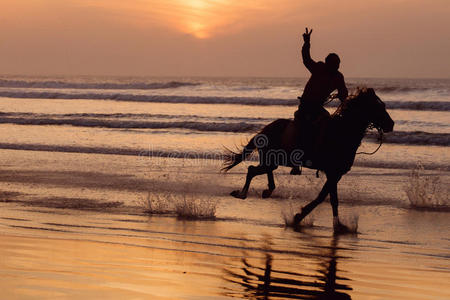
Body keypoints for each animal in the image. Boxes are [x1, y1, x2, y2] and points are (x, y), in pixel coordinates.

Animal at [222, 88, 394, 231]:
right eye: (377, 107)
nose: (391, 124)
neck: (341, 132)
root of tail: (265, 130)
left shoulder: (336, 174)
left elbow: (328, 198)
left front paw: (338, 225)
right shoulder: (332, 172)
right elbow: (326, 198)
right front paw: (300, 216)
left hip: (274, 160)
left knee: (264, 170)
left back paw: (267, 190)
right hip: (272, 158)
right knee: (252, 170)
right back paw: (243, 194)